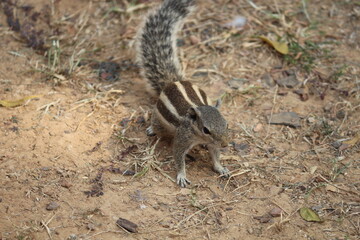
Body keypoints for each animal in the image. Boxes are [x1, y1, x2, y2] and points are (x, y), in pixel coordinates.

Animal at [136, 0, 229, 188]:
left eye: (226, 124)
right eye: (206, 129)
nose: (225, 143)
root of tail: (172, 82)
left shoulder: (212, 144)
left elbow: (215, 153)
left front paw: (220, 167)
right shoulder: (182, 139)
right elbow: (178, 156)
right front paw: (181, 175)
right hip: (159, 116)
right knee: (156, 123)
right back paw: (151, 128)